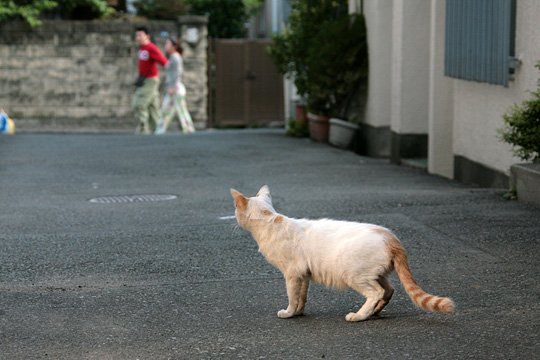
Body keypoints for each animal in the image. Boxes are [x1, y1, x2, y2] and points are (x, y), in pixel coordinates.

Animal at [230, 186, 454, 320]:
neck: (270, 222)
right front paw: (300, 312)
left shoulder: (292, 273)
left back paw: (359, 315)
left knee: (376, 293)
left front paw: (289, 312)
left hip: (353, 273)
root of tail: (391, 237)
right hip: (376, 273)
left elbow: (292, 296)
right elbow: (302, 296)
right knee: (389, 290)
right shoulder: (304, 274)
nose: (233, 219)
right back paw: (374, 312)